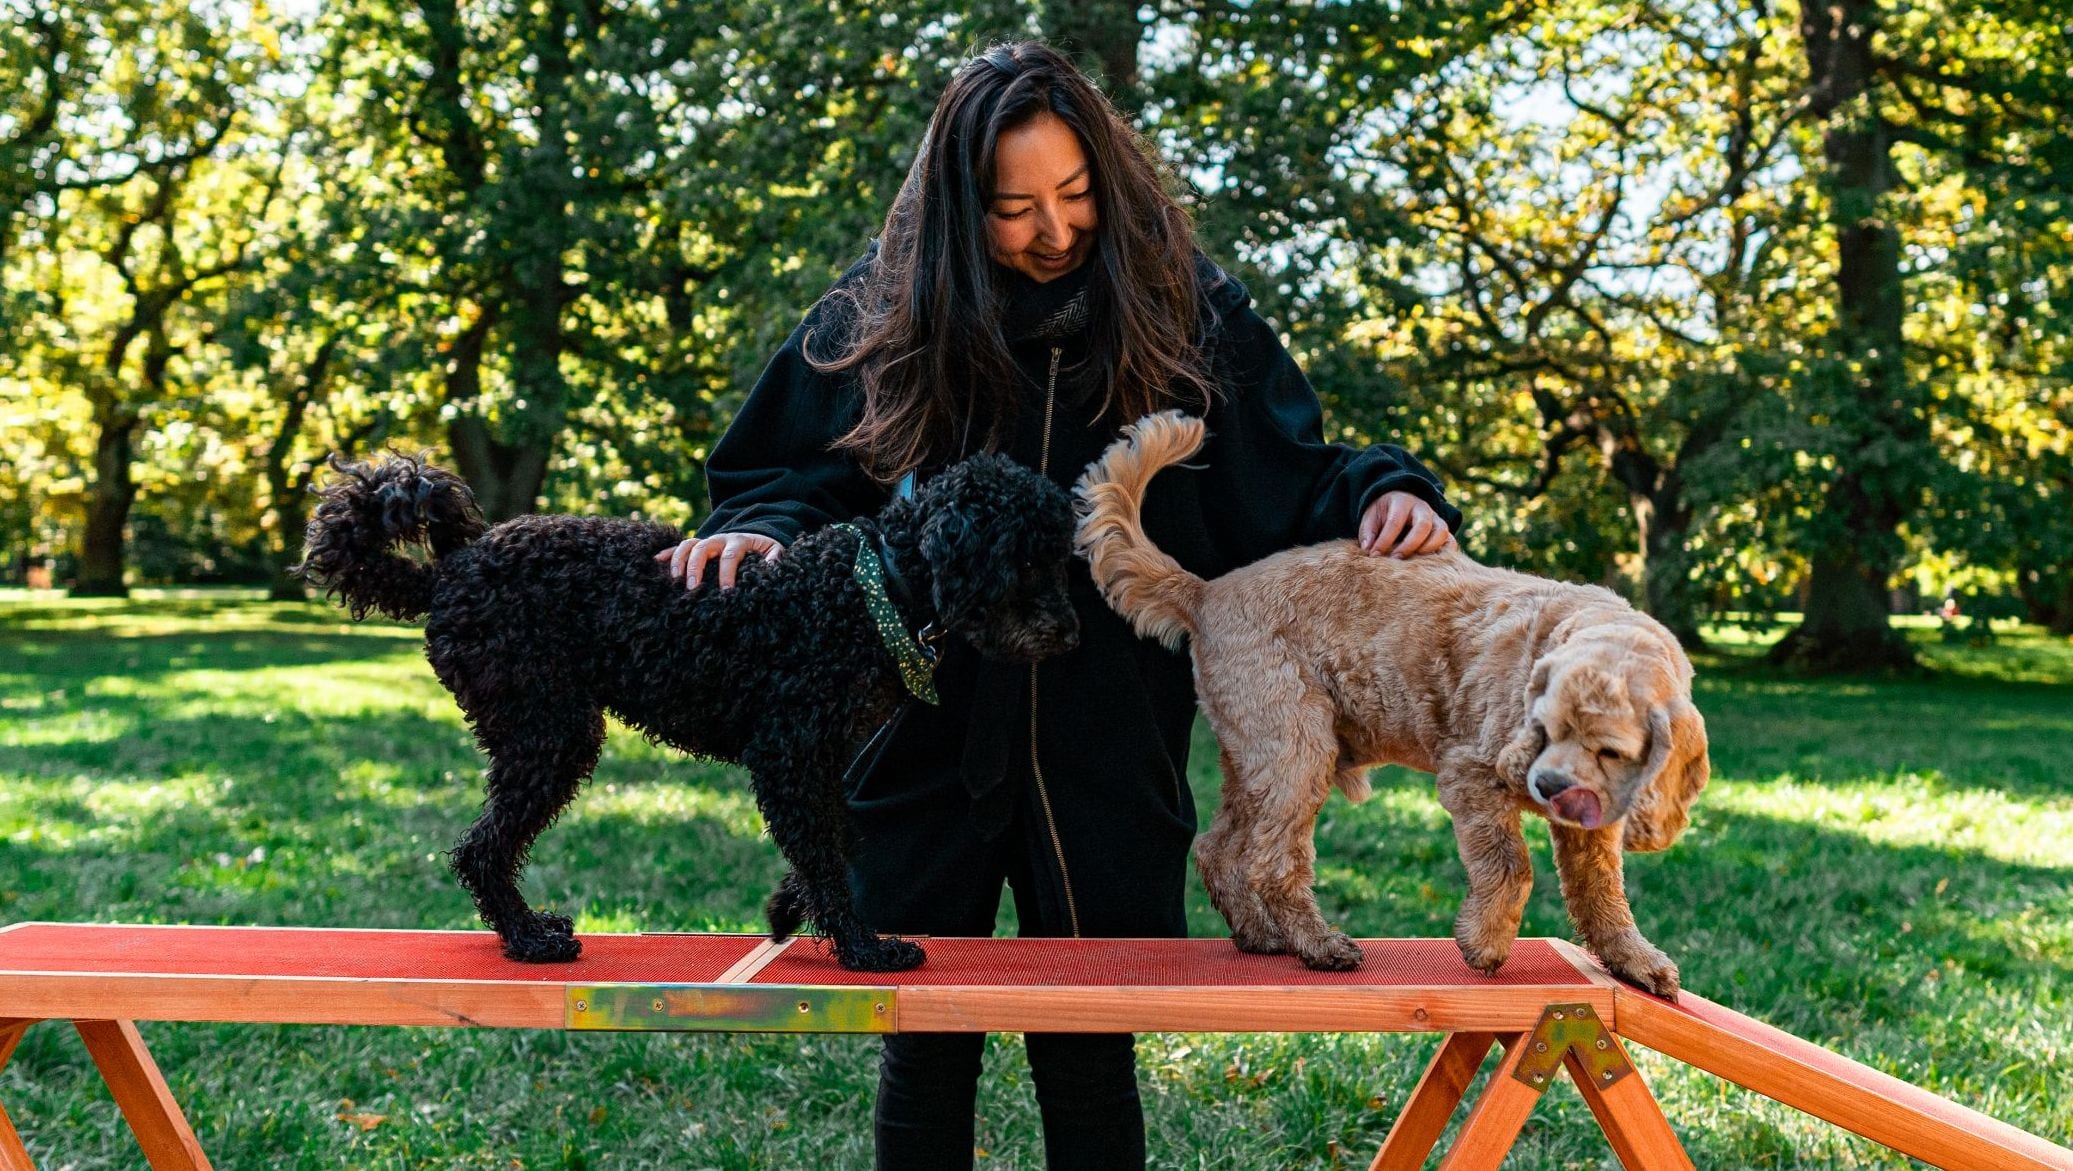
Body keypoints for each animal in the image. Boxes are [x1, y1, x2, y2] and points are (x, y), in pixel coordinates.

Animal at [306, 451, 1086, 974]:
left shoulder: (822, 759)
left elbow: (838, 840)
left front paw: (787, 908)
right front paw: (862, 946)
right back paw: (528, 939)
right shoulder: (787, 752)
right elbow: (825, 852)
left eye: (1058, 556)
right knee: (481, 849)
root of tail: (450, 572)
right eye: (1024, 558)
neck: (869, 590)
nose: (1070, 632)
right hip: (549, 731)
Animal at [1077, 410, 1708, 994]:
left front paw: (1633, 959)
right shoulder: (1469, 777)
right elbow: (1512, 867)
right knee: (1271, 862)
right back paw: (1319, 944)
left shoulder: (1591, 827)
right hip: (1296, 752)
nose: (1546, 786)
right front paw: (1485, 944)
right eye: (1545, 726)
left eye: (1609, 750)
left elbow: (1601, 891)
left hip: (1256, 759)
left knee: (1219, 848)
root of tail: (1206, 593)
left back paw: (1259, 935)